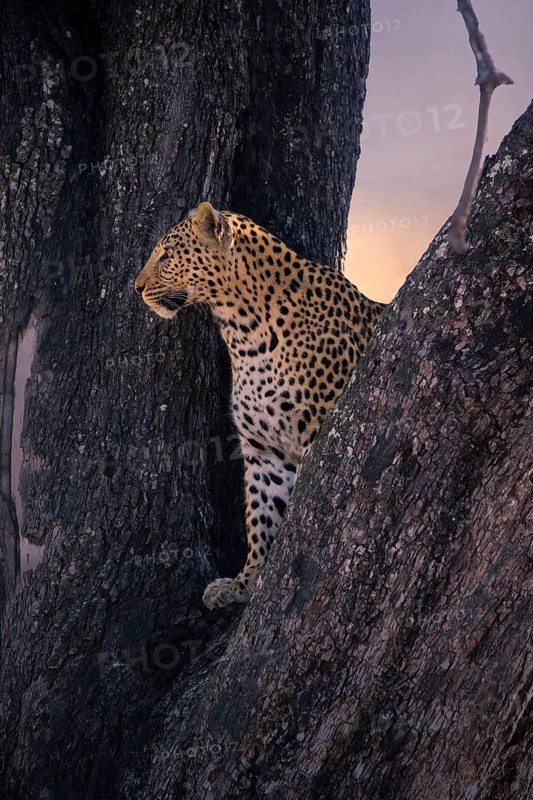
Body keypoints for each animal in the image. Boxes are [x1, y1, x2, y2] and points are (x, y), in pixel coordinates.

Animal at [134, 202, 385, 610]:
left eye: (167, 255)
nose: (136, 287)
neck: (243, 330)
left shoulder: (318, 429)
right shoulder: (265, 449)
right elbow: (262, 515)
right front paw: (246, 580)